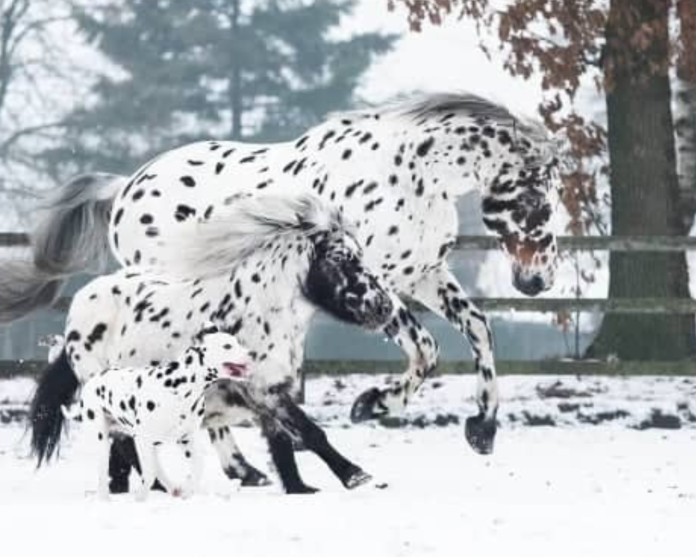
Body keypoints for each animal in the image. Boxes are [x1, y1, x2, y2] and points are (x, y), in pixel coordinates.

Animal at [4, 92, 560, 474]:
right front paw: (372, 404)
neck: (412, 175)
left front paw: (482, 429)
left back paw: (245, 467)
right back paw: (240, 466)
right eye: (541, 203)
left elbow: (480, 329)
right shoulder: (376, 283)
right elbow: (425, 349)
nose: (538, 280)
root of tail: (124, 188)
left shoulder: (422, 274)